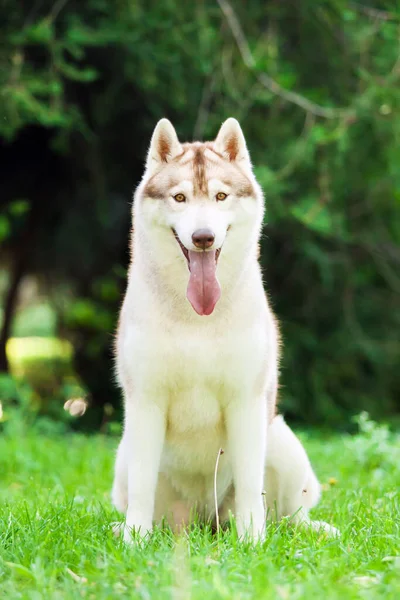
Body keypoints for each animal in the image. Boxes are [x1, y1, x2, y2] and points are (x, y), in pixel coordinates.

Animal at [111, 117, 336, 540]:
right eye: (179, 198)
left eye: (220, 196)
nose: (203, 237)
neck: (197, 319)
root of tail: (205, 522)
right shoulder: (146, 400)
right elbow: (142, 482)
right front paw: (136, 540)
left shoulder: (246, 400)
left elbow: (250, 482)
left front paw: (252, 540)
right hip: (125, 456)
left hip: (282, 440)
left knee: (288, 513)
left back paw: (303, 529)